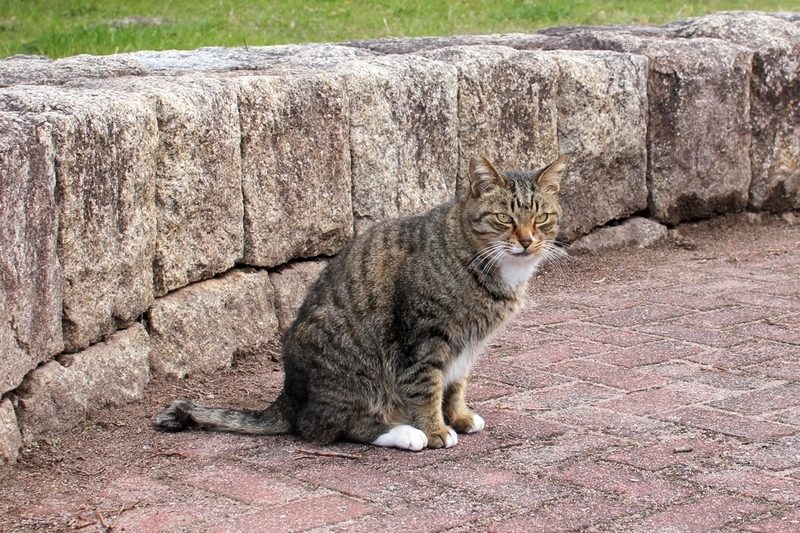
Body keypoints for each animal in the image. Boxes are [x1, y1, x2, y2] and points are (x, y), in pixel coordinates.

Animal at [155, 154, 568, 448]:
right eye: (504, 219)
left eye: (542, 218)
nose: (528, 240)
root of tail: (287, 396)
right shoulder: (423, 335)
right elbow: (427, 386)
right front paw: (436, 428)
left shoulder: (468, 344)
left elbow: (455, 384)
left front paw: (460, 416)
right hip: (352, 366)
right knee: (324, 426)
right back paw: (404, 433)